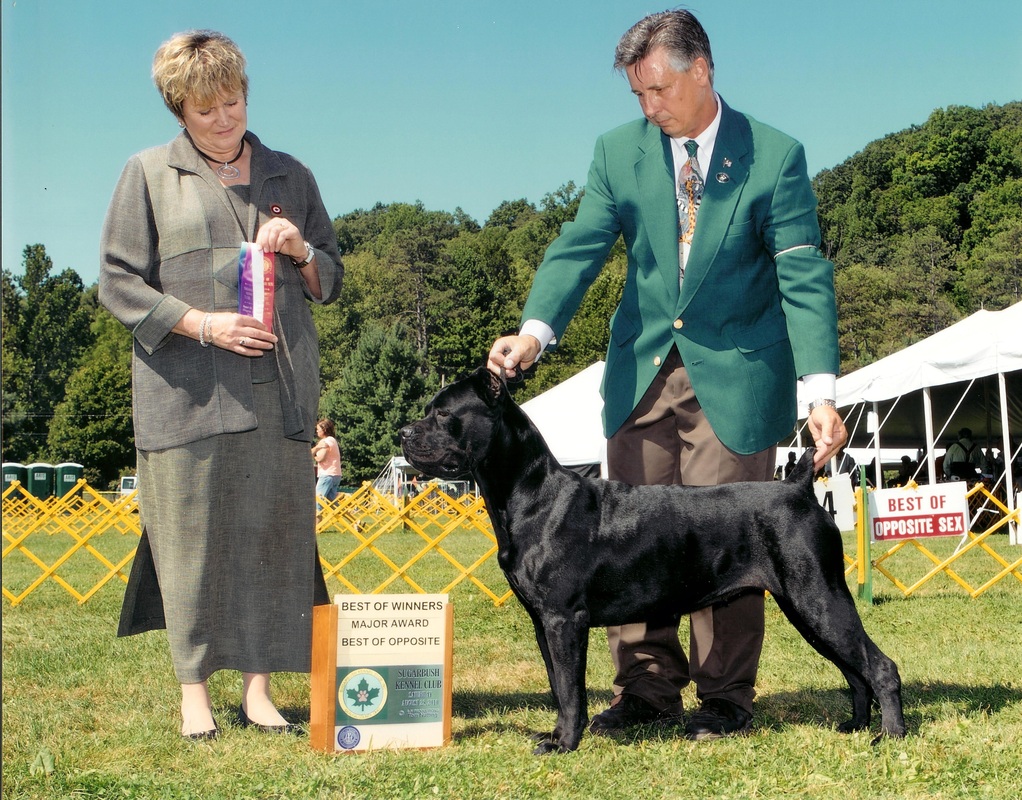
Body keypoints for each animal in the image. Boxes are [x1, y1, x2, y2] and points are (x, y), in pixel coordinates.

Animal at [398, 369, 903, 756]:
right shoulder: (543, 623)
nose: (403, 433)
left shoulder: (564, 619)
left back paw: (890, 737)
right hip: (807, 607)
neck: (530, 494)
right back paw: (856, 726)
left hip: (818, 597)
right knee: (854, 670)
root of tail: (798, 487)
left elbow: (570, 690)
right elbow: (558, 686)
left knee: (879, 667)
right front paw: (558, 735)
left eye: (442, 413)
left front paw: (565, 744)